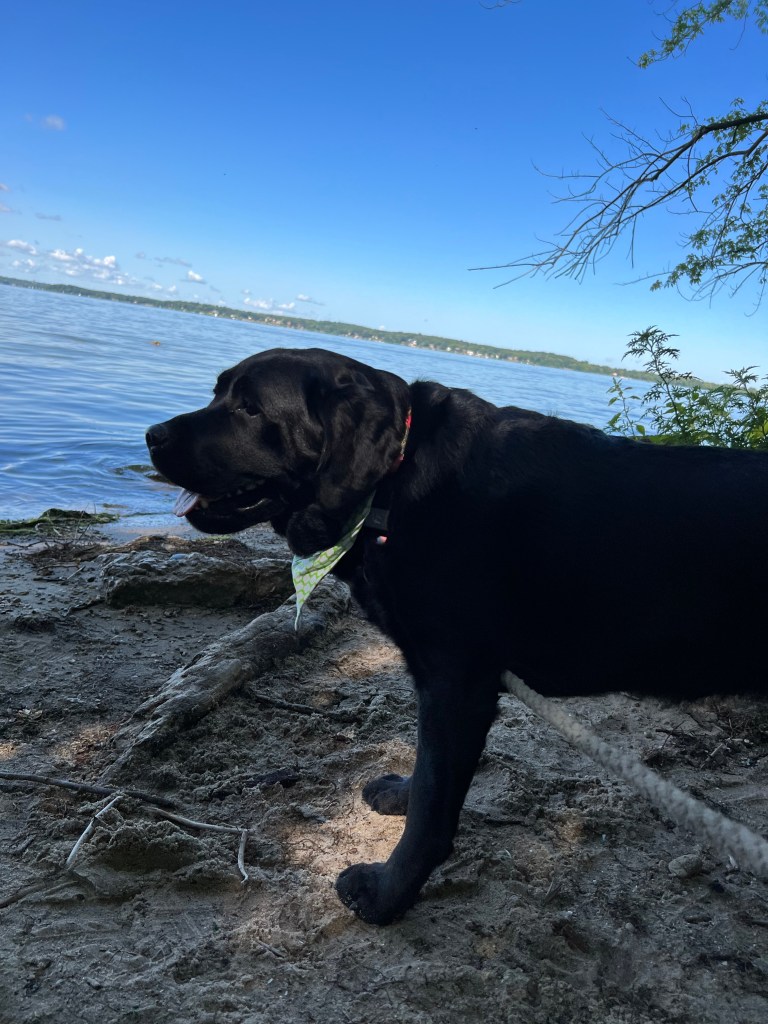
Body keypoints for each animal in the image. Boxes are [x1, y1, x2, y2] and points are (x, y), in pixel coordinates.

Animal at [146, 346, 768, 924]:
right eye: (218, 392)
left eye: (250, 408)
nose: (152, 435)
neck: (393, 484)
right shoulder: (441, 686)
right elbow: (425, 770)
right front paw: (399, 795)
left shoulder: (456, 685)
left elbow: (432, 809)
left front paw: (387, 894)